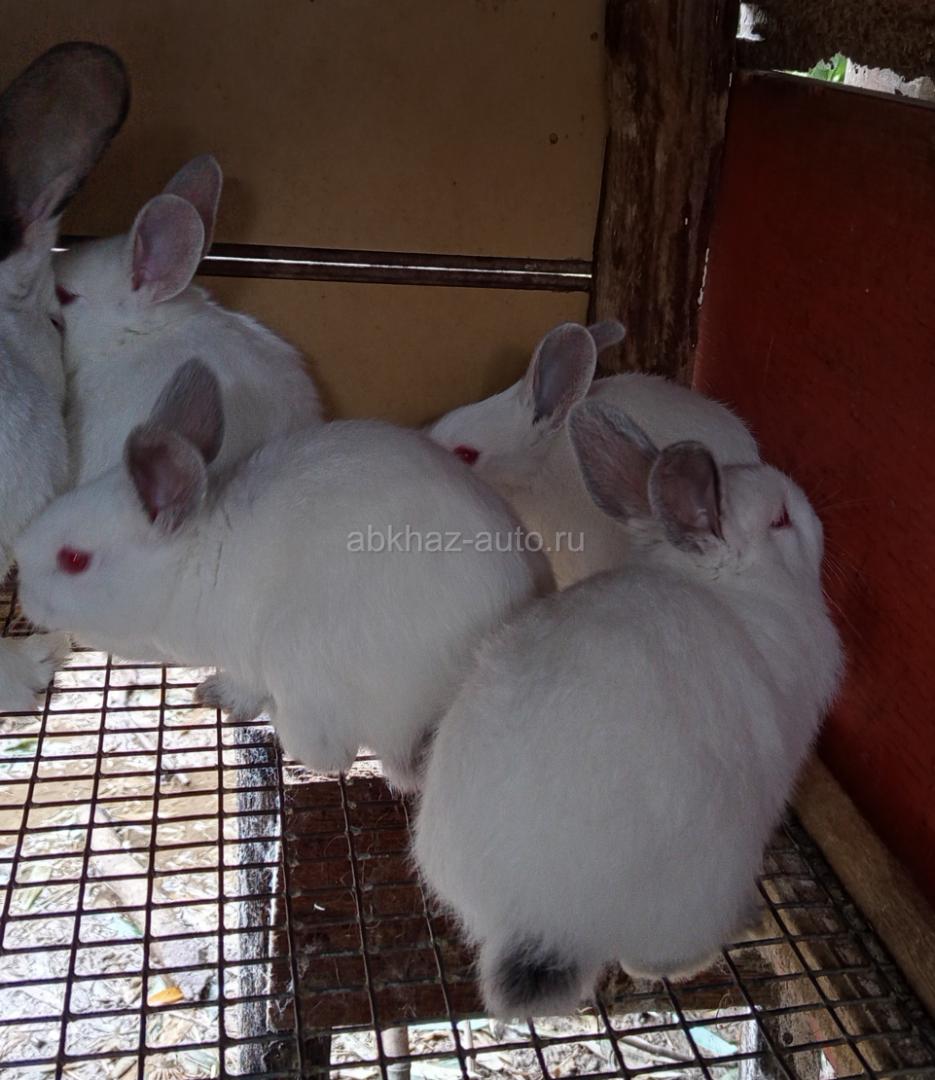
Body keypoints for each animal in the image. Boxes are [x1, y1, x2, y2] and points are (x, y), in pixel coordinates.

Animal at [14, 358, 554, 789]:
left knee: (332, 754)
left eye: (74, 560)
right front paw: (212, 692)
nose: (23, 595)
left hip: (303, 662)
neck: (199, 562)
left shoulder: (250, 655)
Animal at [414, 399, 843, 1018]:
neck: (733, 589)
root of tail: (537, 917)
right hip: (705, 878)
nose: (814, 512)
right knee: (652, 958)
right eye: (781, 520)